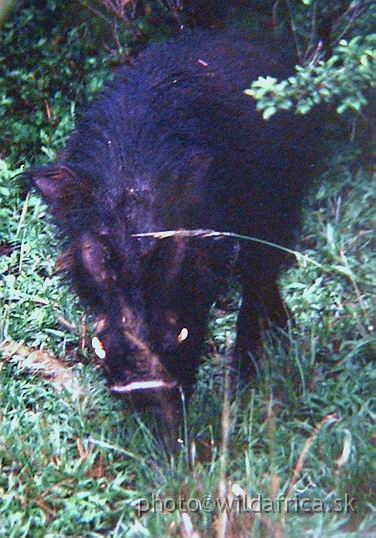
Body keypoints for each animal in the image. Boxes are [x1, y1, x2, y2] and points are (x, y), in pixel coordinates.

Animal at [30, 28, 316, 440]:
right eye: (103, 249)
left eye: (163, 249)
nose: (144, 386)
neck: (130, 169)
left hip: (280, 204)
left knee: (260, 274)